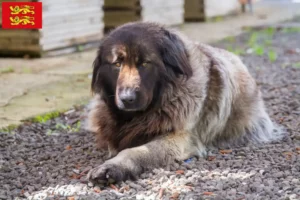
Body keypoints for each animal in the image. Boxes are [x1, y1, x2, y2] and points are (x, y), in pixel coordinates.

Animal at [85, 21, 284, 183]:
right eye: (117, 64)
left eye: (145, 64)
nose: (127, 99)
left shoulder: (179, 139)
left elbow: (136, 151)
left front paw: (114, 167)